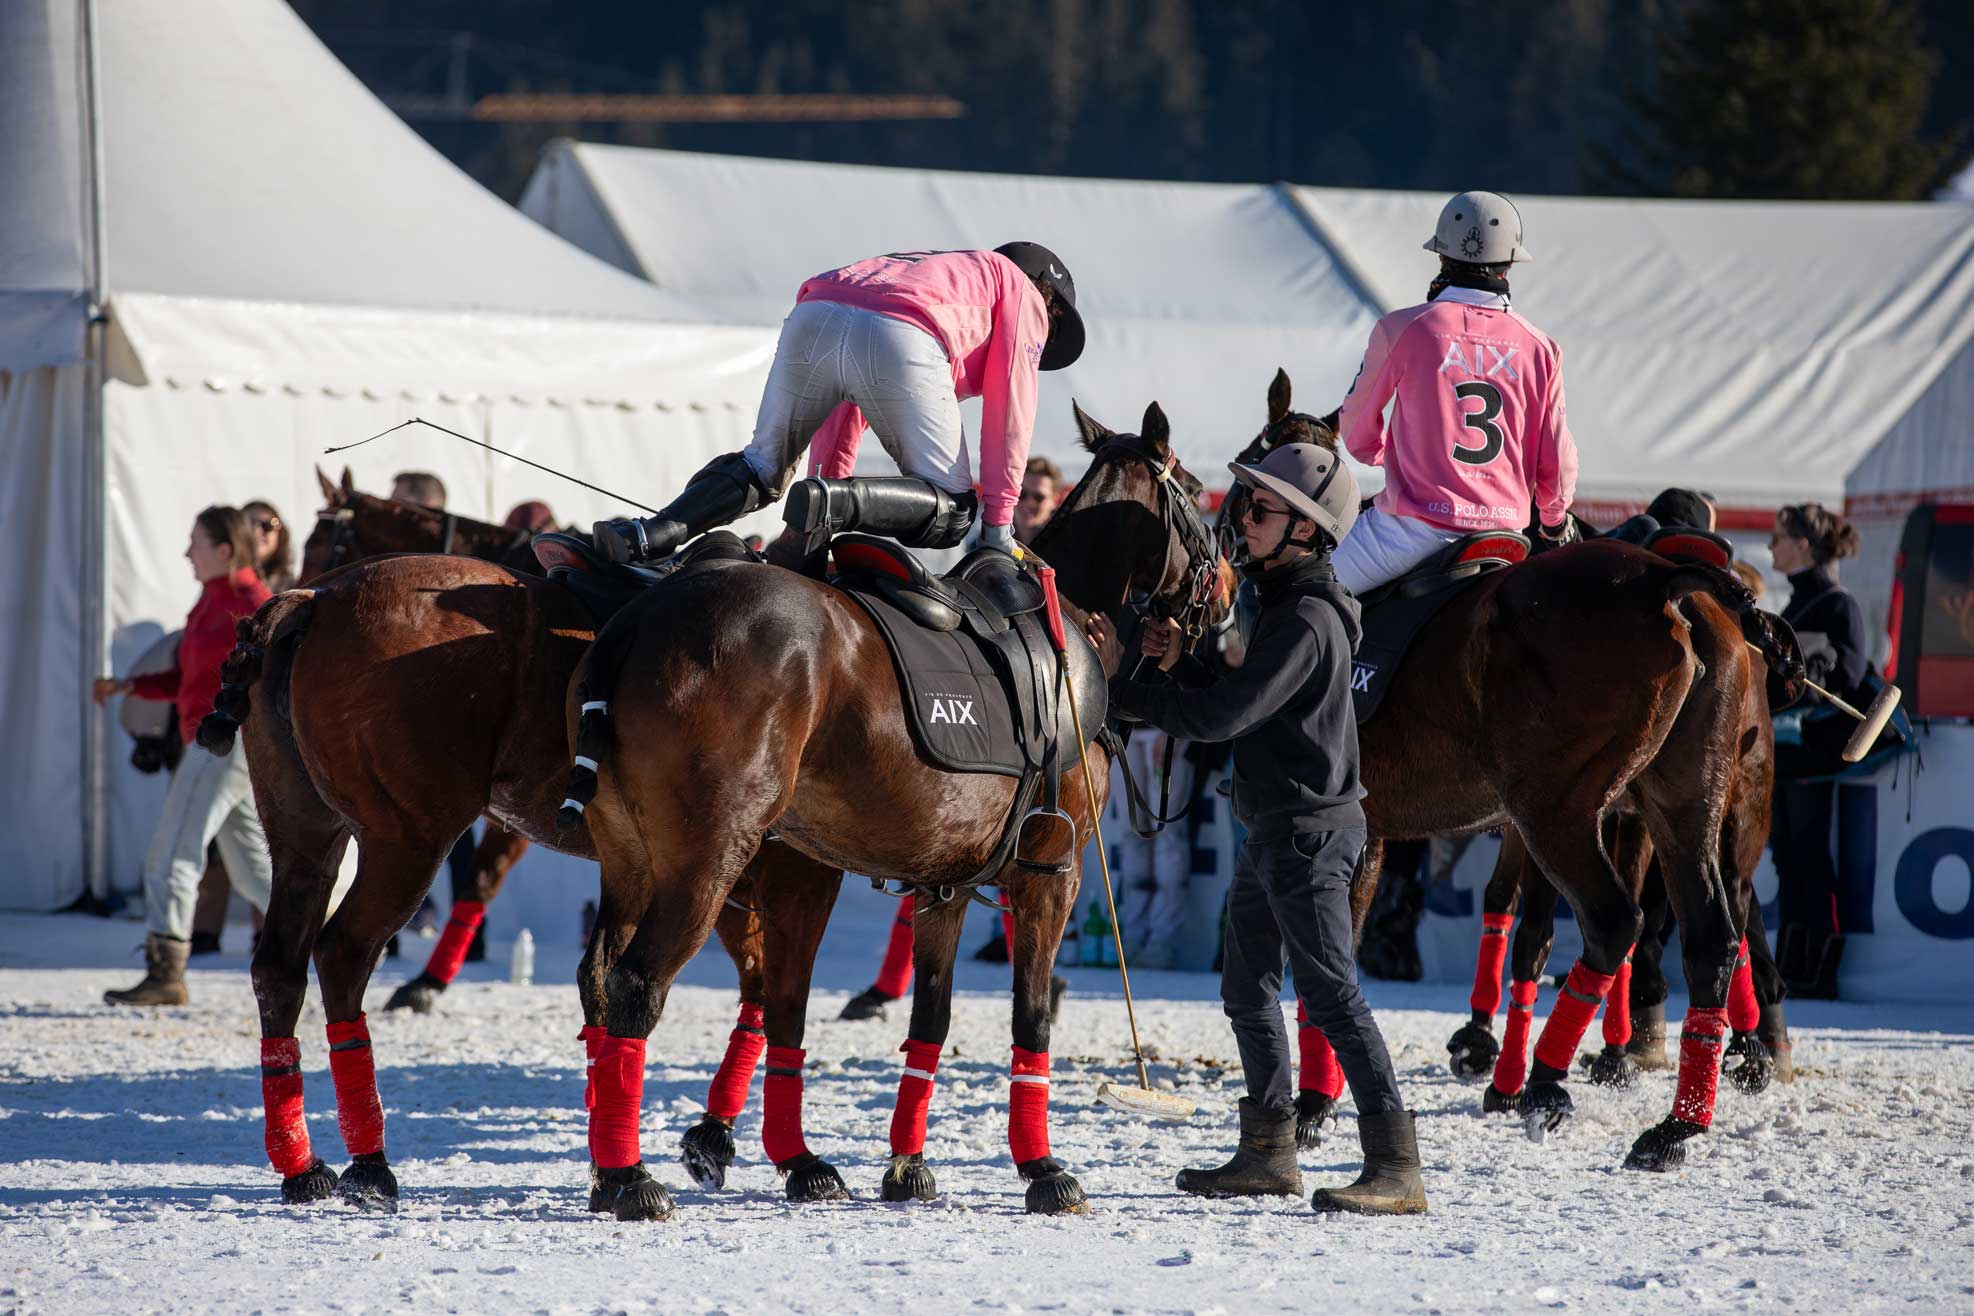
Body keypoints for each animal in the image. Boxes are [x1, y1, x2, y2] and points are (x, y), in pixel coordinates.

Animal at [560, 401, 1228, 1222]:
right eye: (1196, 493)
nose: (1230, 591)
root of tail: (636, 619)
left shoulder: (945, 881)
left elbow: (929, 1017)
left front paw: (908, 1164)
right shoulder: (1053, 869)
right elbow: (1031, 1012)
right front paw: (1042, 1167)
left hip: (633, 856)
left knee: (607, 978)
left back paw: (618, 1168)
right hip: (709, 859)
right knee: (639, 986)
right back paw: (631, 1177)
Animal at [1223, 369, 1799, 1171]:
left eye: (1253, 468)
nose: (1227, 539)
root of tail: (1670, 584)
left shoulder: (1354, 825)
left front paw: (1312, 1106)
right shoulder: (1374, 829)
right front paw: (1322, 1100)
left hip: (1559, 808)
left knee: (1614, 920)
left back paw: (1547, 1085)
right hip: (1683, 804)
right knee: (1714, 931)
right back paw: (1677, 1123)